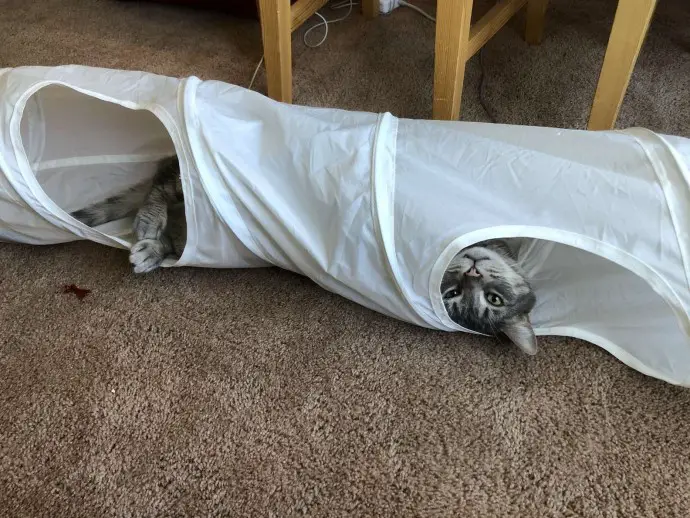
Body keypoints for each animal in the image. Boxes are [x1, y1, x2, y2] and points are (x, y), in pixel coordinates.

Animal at [70, 156, 536, 354]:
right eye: (454, 293)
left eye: (489, 301)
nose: (473, 273)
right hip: (181, 181)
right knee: (162, 184)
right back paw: (148, 225)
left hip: (186, 225)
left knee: (168, 213)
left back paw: (149, 249)